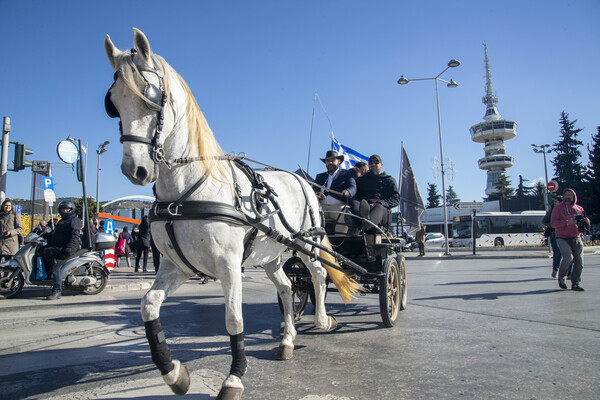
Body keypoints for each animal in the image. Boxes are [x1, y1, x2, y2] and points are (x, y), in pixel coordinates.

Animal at [103, 28, 358, 400]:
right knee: (286, 288)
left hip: (307, 244)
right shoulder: (176, 266)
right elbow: (148, 305)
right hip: (271, 256)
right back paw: (287, 339)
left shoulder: (228, 264)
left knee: (319, 276)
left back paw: (323, 320)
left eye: (152, 97)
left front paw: (234, 377)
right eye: (113, 103)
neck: (189, 190)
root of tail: (302, 178)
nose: (134, 170)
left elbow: (234, 320)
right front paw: (174, 373)